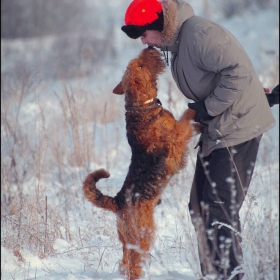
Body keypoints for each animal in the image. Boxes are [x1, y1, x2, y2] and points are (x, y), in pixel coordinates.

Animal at [83, 47, 199, 278]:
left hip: (125, 238)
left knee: (125, 261)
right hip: (142, 235)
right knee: (133, 263)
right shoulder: (175, 139)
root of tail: (117, 202)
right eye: (141, 65)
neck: (141, 108)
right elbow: (185, 119)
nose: (149, 48)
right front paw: (195, 110)